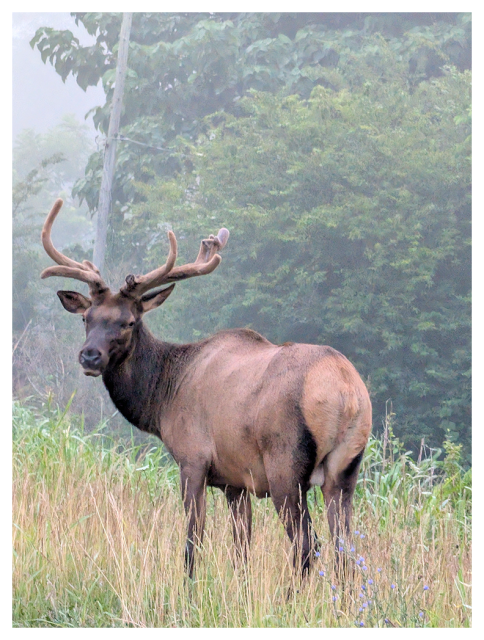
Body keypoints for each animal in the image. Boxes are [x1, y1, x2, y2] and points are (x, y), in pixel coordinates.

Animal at [40, 198, 372, 579]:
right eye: (86, 318)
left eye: (129, 322)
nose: (90, 356)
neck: (162, 400)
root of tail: (347, 392)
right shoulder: (236, 481)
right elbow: (241, 548)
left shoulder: (193, 458)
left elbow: (192, 541)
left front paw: (189, 587)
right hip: (345, 470)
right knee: (345, 550)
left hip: (285, 464)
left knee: (307, 544)